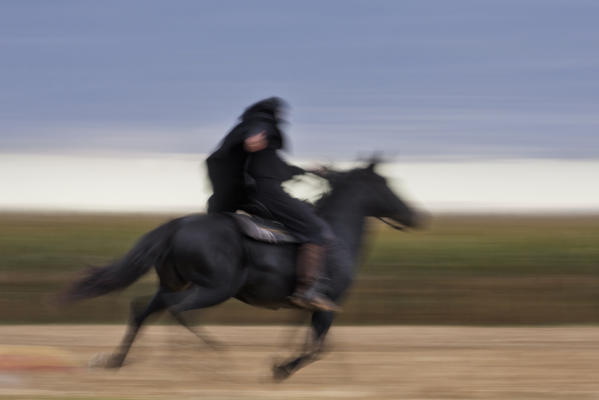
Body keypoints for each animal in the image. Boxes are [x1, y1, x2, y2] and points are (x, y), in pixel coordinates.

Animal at [67, 162, 422, 378]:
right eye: (385, 184)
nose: (414, 216)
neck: (336, 233)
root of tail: (177, 226)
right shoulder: (327, 305)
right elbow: (319, 347)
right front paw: (281, 370)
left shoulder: (308, 305)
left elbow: (307, 341)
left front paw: (280, 363)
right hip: (213, 289)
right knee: (178, 312)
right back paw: (208, 357)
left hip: (173, 284)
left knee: (141, 310)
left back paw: (117, 361)